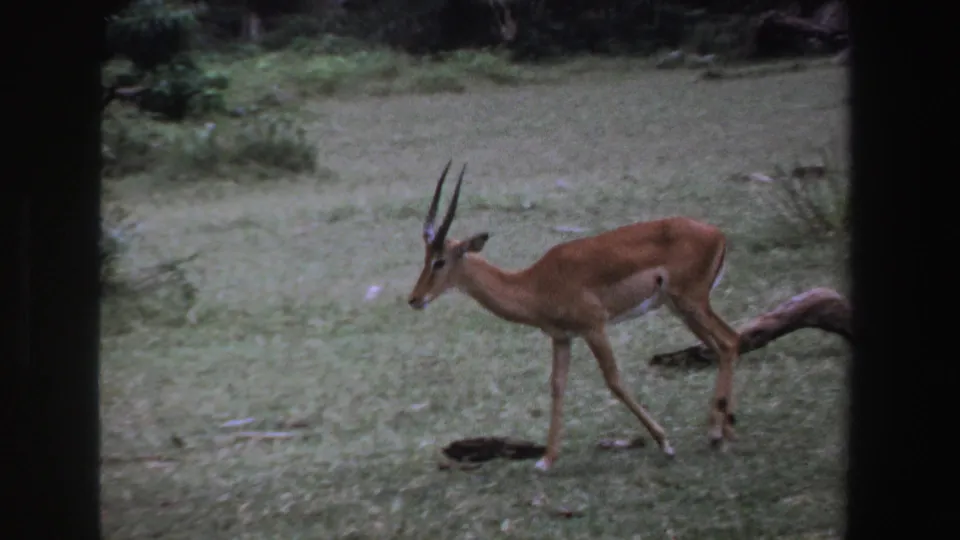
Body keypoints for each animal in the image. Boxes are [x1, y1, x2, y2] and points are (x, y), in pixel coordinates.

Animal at [407, 161, 741, 472]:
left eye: (439, 261)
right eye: (425, 257)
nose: (414, 299)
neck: (535, 283)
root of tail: (717, 233)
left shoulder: (595, 328)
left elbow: (614, 380)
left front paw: (664, 442)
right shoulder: (562, 338)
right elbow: (557, 386)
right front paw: (547, 460)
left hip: (691, 303)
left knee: (728, 341)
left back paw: (717, 435)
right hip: (683, 309)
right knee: (726, 343)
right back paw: (722, 432)